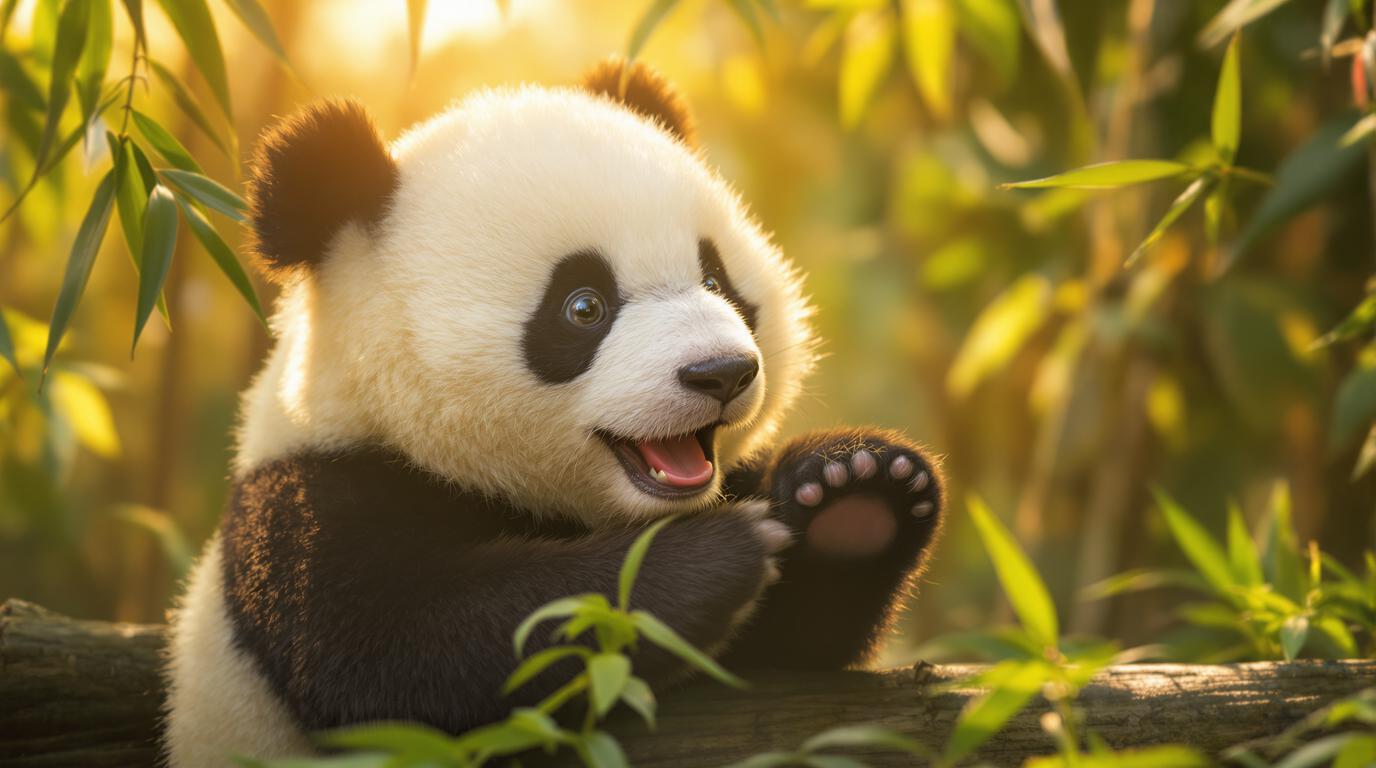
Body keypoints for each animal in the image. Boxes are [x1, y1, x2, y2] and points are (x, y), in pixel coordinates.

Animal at [163, 60, 945, 766]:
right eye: (584, 306)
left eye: (717, 279)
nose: (722, 372)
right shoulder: (312, 507)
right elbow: (410, 649)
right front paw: (712, 555)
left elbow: (786, 651)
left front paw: (857, 492)